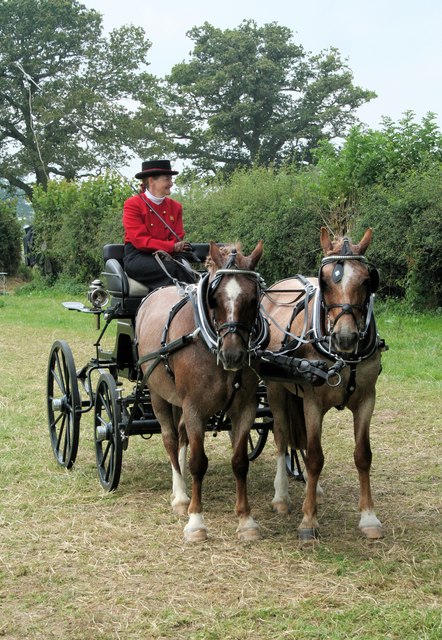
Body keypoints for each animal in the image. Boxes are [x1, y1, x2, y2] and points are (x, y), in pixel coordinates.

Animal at [136, 242, 264, 544]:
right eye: (214, 299)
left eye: (254, 299)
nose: (233, 355)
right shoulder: (194, 407)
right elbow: (198, 462)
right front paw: (196, 521)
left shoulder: (245, 408)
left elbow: (240, 461)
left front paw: (246, 520)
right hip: (158, 395)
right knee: (171, 439)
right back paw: (181, 496)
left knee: (181, 436)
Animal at [260, 228, 386, 544]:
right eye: (326, 280)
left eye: (366, 280)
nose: (345, 337)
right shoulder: (312, 402)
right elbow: (316, 456)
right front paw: (308, 521)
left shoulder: (367, 399)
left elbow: (363, 455)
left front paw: (369, 517)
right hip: (276, 389)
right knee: (282, 436)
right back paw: (282, 496)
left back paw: (312, 488)